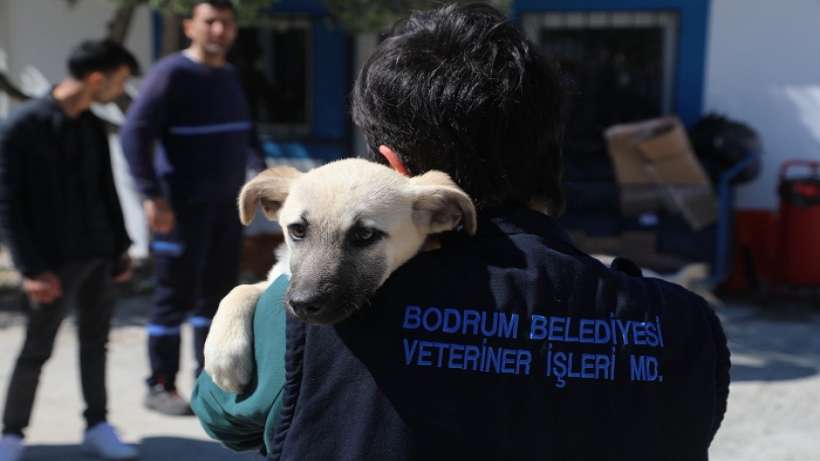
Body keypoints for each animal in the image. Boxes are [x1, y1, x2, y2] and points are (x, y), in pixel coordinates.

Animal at [202, 158, 478, 392]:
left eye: (365, 235)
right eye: (297, 230)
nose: (302, 304)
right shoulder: (279, 277)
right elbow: (239, 289)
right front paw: (224, 353)